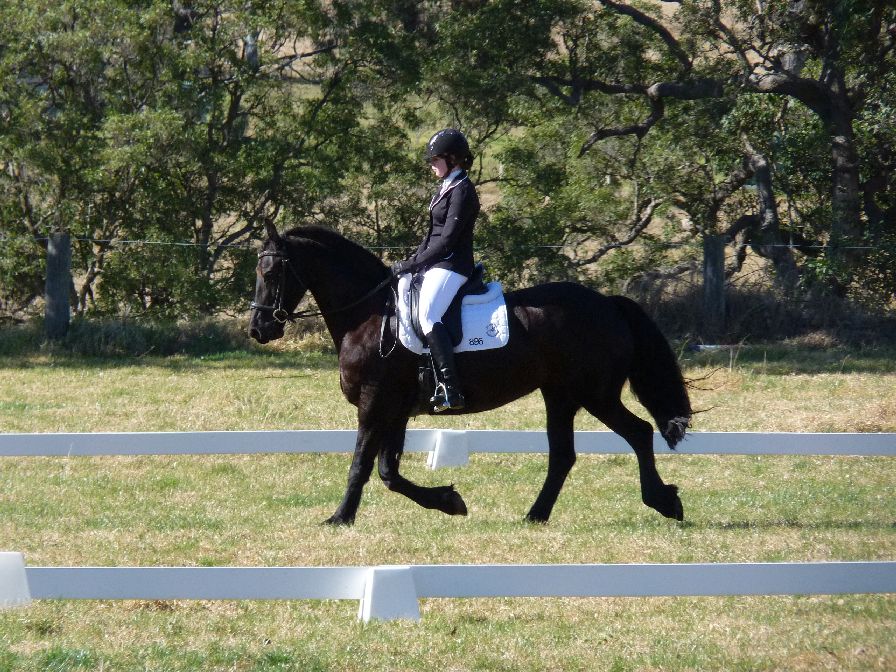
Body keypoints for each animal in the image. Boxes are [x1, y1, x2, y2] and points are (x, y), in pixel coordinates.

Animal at [249, 223, 692, 526]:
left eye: (271, 274)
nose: (259, 329)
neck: (371, 314)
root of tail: (608, 303)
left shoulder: (375, 403)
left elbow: (362, 465)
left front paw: (340, 517)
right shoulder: (395, 410)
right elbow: (389, 472)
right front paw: (448, 501)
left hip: (594, 394)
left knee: (639, 433)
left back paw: (664, 501)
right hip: (560, 395)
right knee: (563, 455)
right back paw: (536, 514)